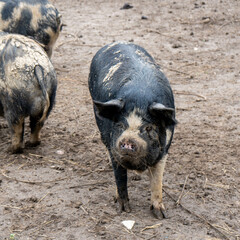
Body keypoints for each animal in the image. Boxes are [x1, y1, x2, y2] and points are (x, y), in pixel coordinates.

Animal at [88, 41, 176, 219]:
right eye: (120, 125)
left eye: (148, 127)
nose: (128, 141)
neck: (139, 97)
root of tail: (117, 42)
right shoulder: (114, 150)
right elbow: (120, 178)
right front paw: (123, 210)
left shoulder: (164, 150)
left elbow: (157, 181)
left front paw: (161, 215)